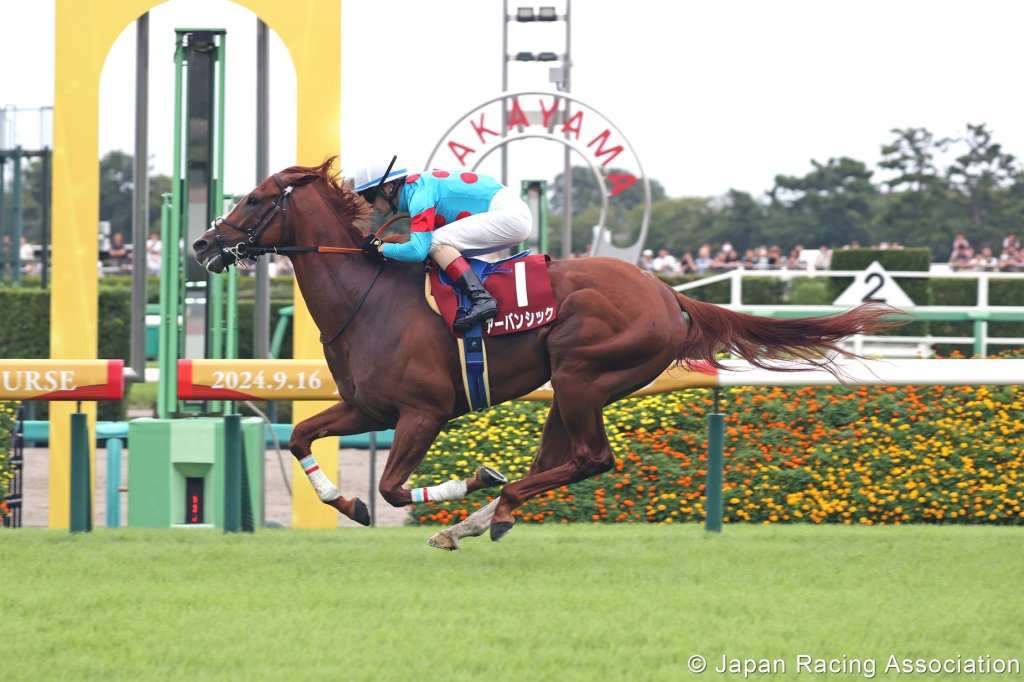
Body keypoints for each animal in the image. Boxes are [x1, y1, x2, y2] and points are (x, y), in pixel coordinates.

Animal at [192, 157, 902, 548]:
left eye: (254, 198)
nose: (202, 244)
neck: (367, 297)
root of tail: (666, 292)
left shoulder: (424, 411)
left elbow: (394, 489)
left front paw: (471, 476)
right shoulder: (368, 408)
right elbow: (299, 438)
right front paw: (349, 504)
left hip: (583, 369)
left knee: (591, 459)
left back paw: (488, 504)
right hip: (569, 384)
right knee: (560, 459)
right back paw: (479, 521)